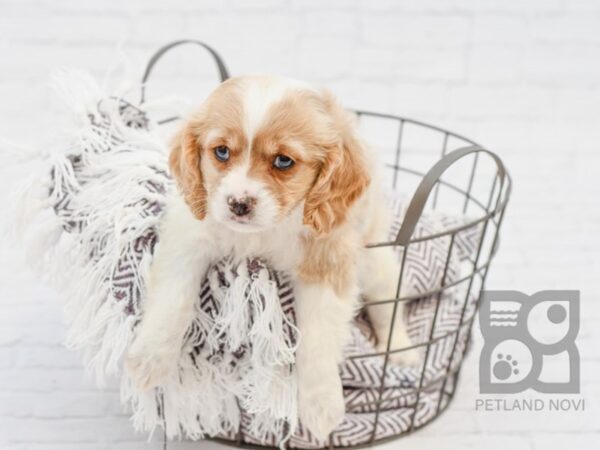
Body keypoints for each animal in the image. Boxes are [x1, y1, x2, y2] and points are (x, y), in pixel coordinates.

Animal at [126, 75, 418, 438]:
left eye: (283, 161)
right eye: (221, 152)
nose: (238, 204)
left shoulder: (326, 261)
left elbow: (319, 339)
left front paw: (321, 405)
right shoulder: (189, 237)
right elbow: (173, 300)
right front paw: (150, 359)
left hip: (379, 265)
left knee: (389, 309)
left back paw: (402, 351)